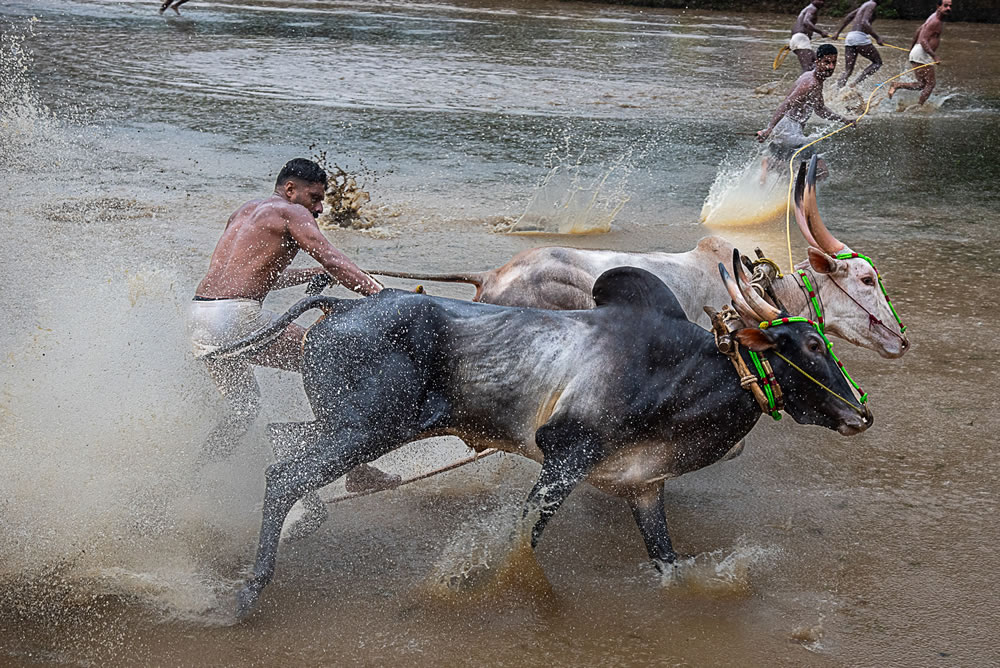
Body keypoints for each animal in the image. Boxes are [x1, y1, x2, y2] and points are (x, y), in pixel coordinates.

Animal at [209, 258, 868, 620]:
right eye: (810, 344)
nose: (859, 414)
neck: (688, 370)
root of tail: (337, 311)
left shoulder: (642, 486)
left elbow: (668, 561)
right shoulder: (566, 457)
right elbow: (524, 537)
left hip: (342, 425)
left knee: (282, 438)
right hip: (367, 429)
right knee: (283, 474)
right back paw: (249, 590)